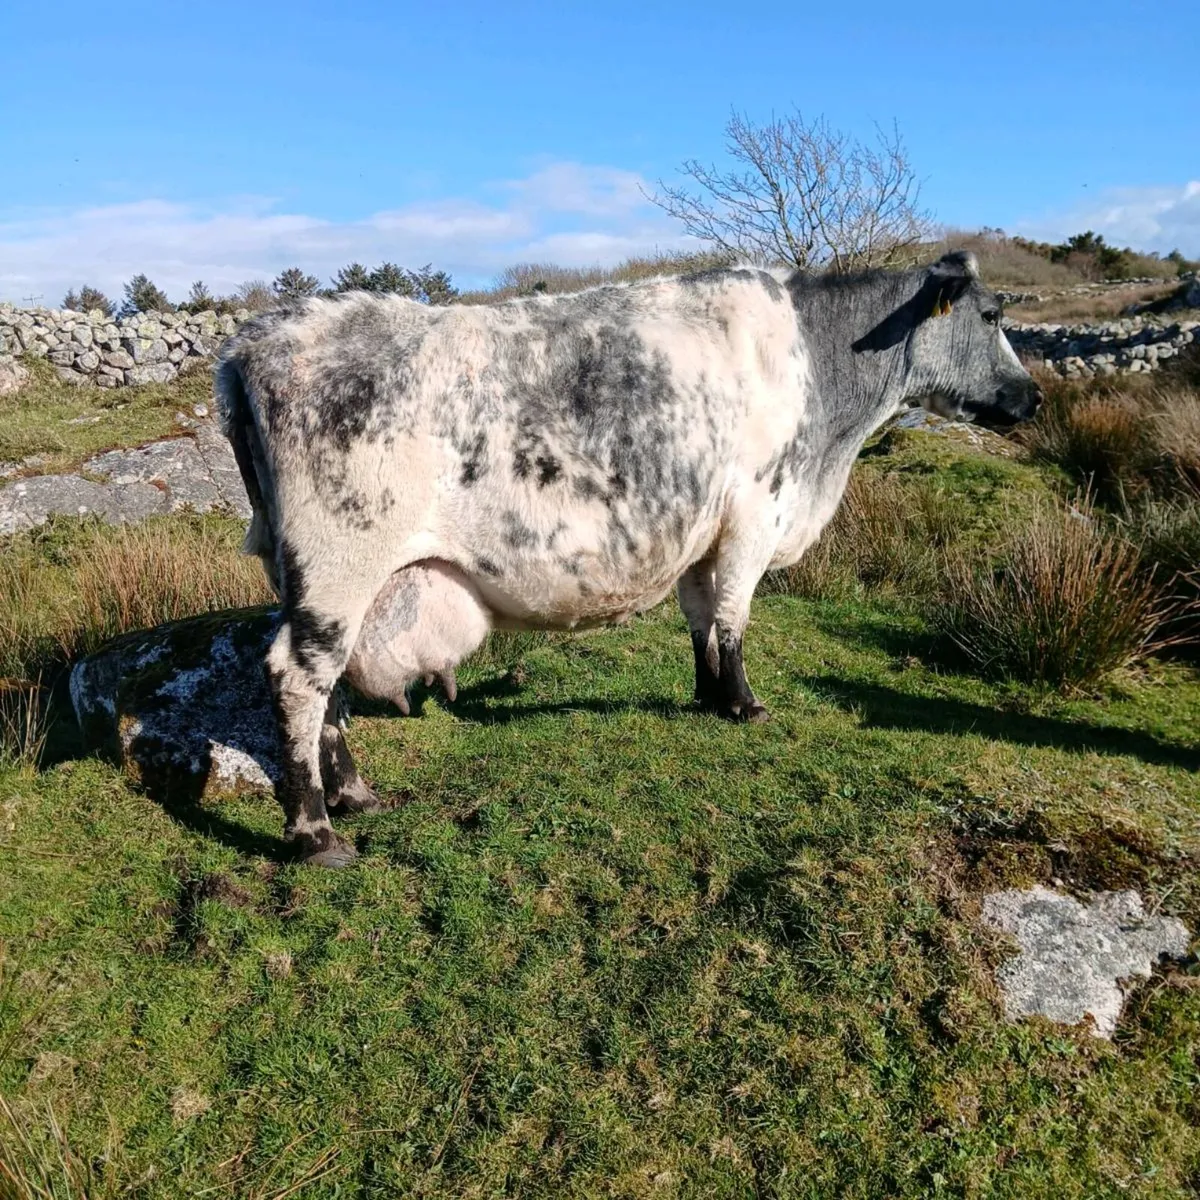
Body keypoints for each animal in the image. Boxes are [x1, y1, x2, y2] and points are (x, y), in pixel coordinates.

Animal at [216, 250, 1041, 866]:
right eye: (994, 316)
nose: (1031, 397)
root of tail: (256, 342)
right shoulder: (754, 513)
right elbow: (736, 614)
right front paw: (746, 703)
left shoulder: (702, 530)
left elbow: (703, 615)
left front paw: (709, 695)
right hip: (340, 562)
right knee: (299, 676)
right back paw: (315, 831)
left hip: (312, 575)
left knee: (327, 684)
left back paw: (353, 793)